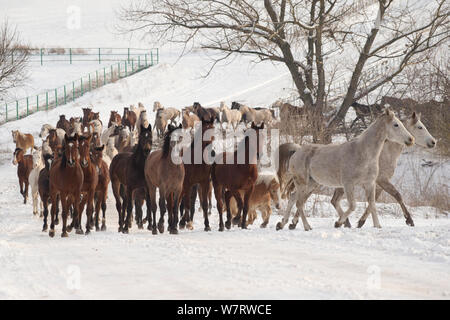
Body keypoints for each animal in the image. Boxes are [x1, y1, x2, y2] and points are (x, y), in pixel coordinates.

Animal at [276, 109, 414, 231]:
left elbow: (372, 204)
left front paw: (377, 226)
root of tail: (296, 152)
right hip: (302, 183)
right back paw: (306, 227)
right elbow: (353, 205)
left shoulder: (370, 183)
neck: (363, 153)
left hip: (311, 184)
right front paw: (339, 223)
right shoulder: (348, 184)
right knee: (299, 203)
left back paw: (282, 224)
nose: (411, 139)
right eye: (396, 124)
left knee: (293, 198)